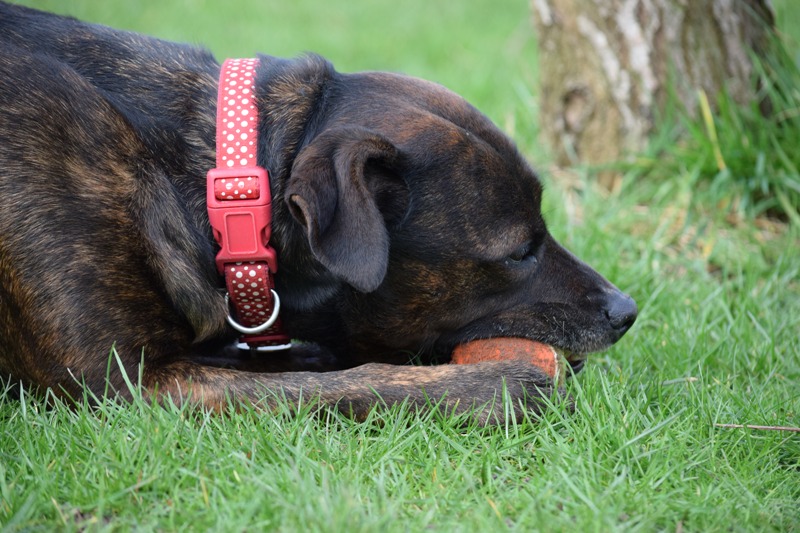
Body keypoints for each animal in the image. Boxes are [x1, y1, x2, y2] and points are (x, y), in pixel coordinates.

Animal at [0, 2, 636, 422]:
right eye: (520, 251)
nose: (626, 312)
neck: (221, 186)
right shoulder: (126, 386)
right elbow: (348, 383)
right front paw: (494, 388)